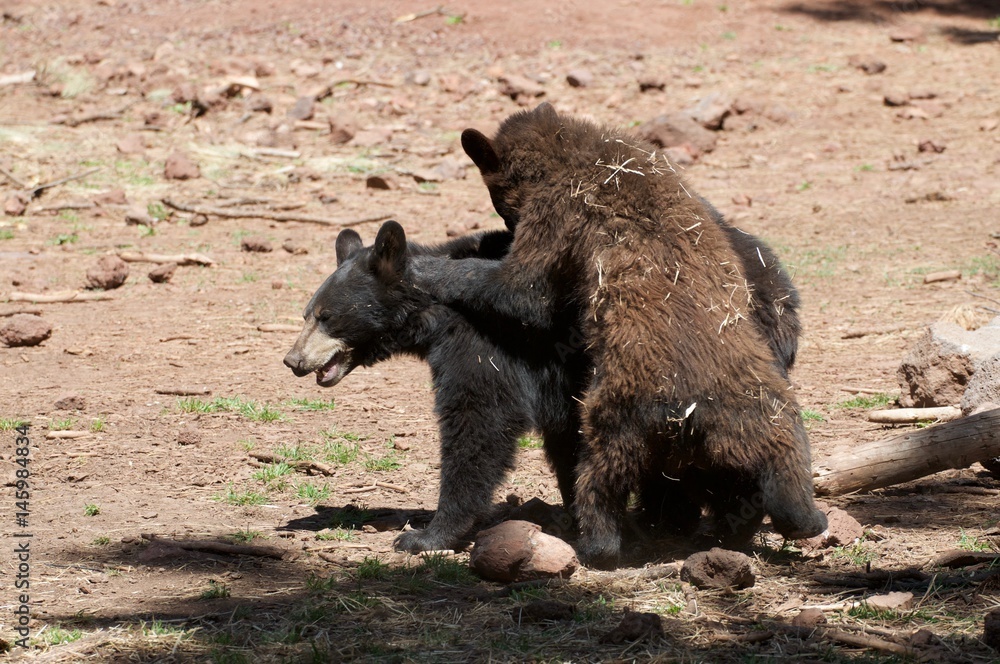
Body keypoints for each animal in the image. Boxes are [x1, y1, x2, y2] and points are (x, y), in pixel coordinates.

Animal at [411, 102, 827, 566]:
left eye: (500, 202)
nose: (506, 225)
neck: (579, 153)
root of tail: (694, 412)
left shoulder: (559, 210)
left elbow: (524, 290)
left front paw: (428, 266)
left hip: (620, 415)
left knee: (598, 473)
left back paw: (598, 541)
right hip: (769, 415)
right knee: (782, 468)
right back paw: (797, 519)